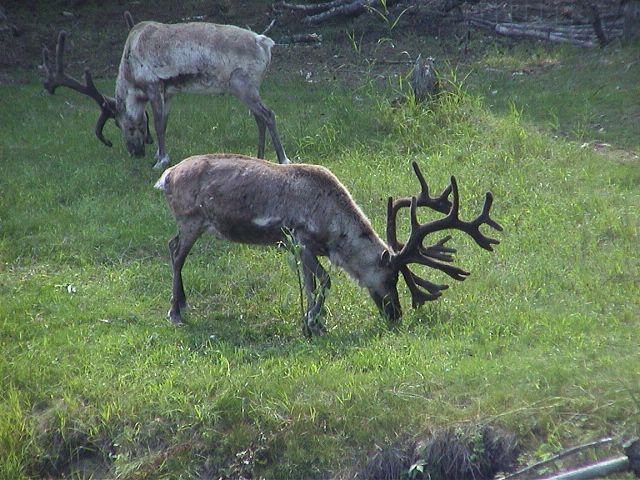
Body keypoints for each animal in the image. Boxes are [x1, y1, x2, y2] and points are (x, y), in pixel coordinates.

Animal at [41, 14, 289, 169]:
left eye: (123, 125)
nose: (135, 152)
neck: (130, 70)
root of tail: (265, 43)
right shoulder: (169, 93)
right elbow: (165, 123)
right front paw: (158, 155)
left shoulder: (153, 86)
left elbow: (159, 124)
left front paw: (161, 160)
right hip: (246, 89)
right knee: (259, 118)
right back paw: (259, 158)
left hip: (242, 85)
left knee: (268, 114)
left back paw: (282, 159)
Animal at [154, 154, 503, 337]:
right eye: (391, 276)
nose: (395, 313)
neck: (336, 233)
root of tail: (166, 176)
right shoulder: (300, 239)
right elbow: (324, 280)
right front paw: (313, 323)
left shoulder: (302, 248)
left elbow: (310, 283)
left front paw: (313, 323)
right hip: (190, 218)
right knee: (175, 251)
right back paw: (174, 311)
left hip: (195, 223)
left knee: (174, 249)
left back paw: (182, 302)